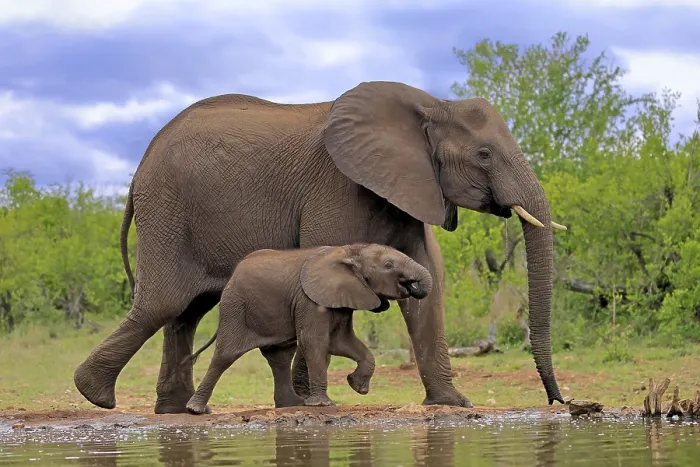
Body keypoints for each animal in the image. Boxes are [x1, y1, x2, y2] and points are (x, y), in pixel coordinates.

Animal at [184, 242, 434, 414]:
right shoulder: (309, 301)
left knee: (279, 356)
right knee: (225, 355)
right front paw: (324, 404)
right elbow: (316, 342)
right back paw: (196, 410)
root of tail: (233, 275)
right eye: (389, 266)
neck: (351, 251)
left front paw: (357, 386)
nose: (412, 286)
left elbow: (341, 343)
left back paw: (292, 404)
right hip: (236, 308)